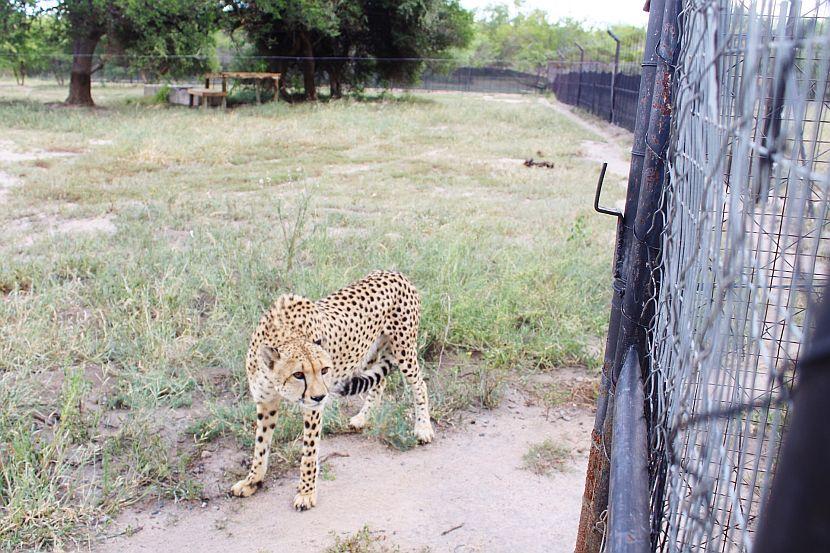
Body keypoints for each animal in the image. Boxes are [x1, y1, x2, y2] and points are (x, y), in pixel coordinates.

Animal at [229, 268, 436, 508]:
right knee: (380, 380)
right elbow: (261, 445)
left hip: (403, 350)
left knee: (419, 384)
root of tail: (394, 272)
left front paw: (306, 493)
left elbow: (309, 452)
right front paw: (252, 481)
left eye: (325, 370)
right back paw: (363, 417)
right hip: (368, 352)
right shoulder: (266, 402)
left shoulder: (312, 409)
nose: (320, 396)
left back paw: (423, 428)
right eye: (298, 374)